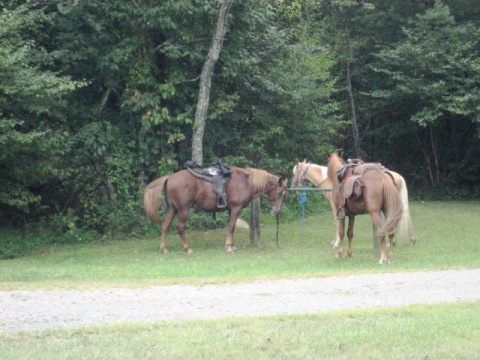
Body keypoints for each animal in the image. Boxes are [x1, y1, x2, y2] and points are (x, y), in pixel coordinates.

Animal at [142, 167, 284, 255]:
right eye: (279, 193)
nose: (276, 212)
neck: (246, 182)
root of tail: (169, 177)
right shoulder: (236, 209)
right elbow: (231, 227)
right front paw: (229, 247)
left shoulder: (231, 210)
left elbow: (232, 227)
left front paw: (232, 245)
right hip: (183, 210)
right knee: (180, 227)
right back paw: (187, 248)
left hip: (172, 209)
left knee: (165, 225)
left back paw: (164, 248)